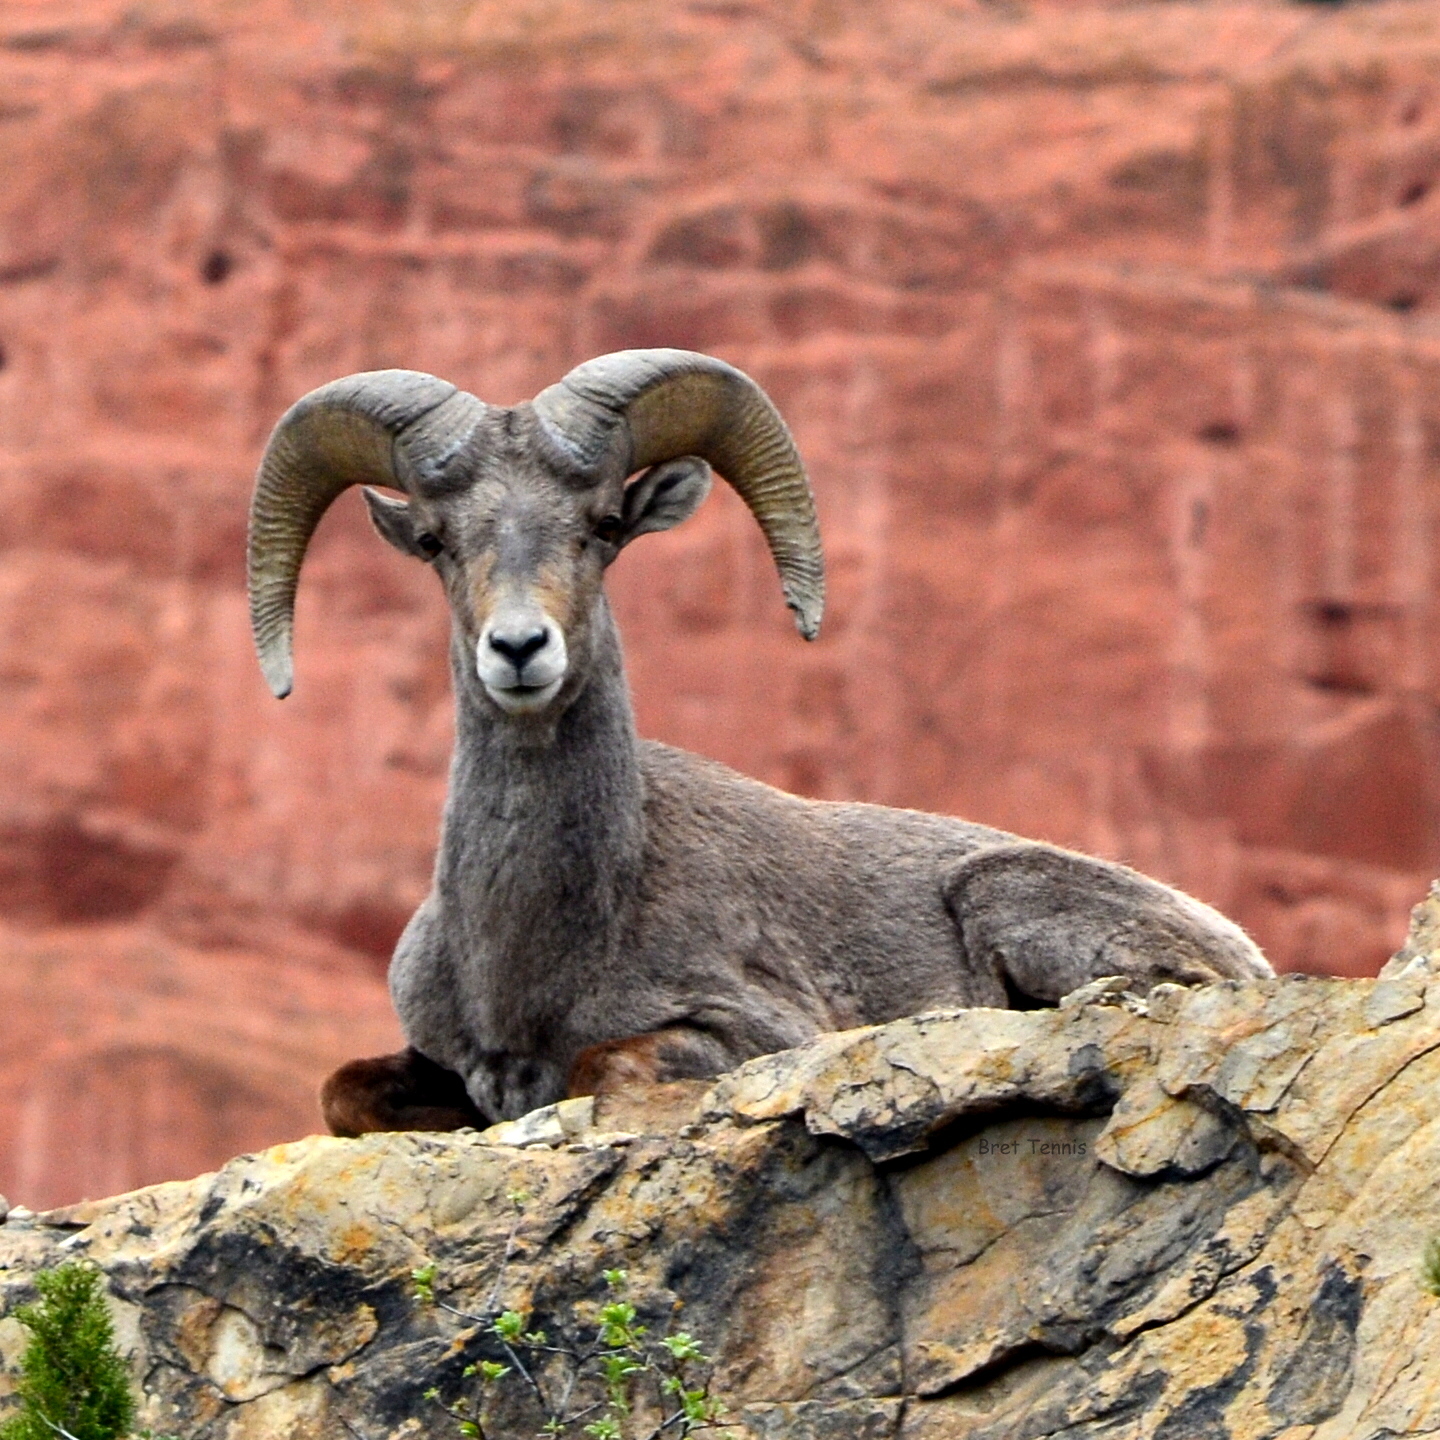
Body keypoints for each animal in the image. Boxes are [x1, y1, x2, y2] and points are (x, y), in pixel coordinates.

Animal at [250, 348, 1272, 1134]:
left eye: (604, 527)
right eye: (435, 539)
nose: (519, 649)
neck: (532, 956)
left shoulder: (754, 1031)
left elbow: (601, 1069)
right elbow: (341, 1092)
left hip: (1011, 897)